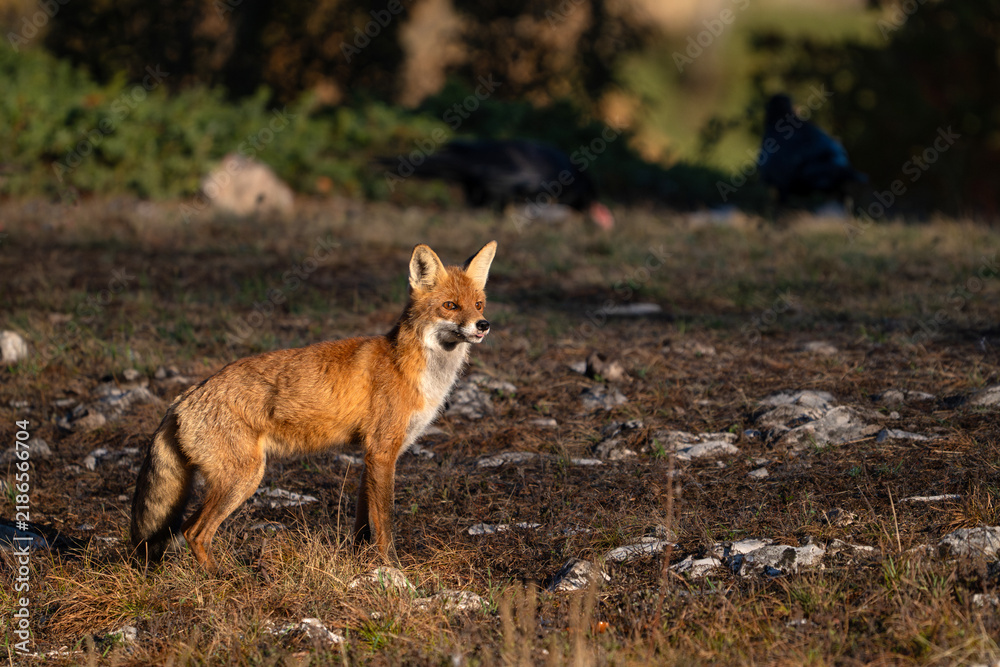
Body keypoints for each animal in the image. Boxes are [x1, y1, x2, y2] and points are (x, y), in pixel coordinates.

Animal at [131, 241, 497, 570]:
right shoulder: (383, 451)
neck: (412, 368)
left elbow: (363, 523)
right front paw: (393, 569)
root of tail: (186, 396)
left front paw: (361, 564)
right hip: (243, 479)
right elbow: (385, 524)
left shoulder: (372, 455)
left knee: (185, 529)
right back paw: (224, 577)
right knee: (193, 531)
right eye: (450, 305)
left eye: (478, 304)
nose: (483, 325)